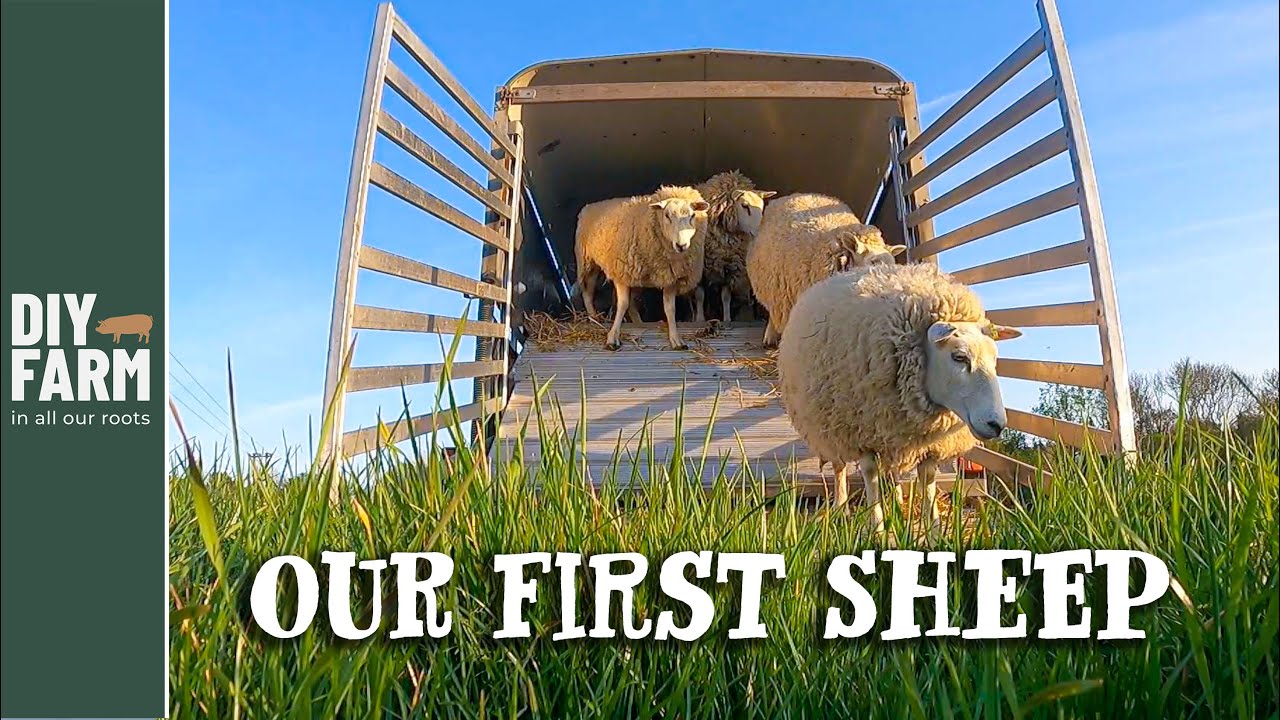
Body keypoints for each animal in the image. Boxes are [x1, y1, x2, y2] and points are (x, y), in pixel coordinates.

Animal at [574, 185, 710, 350]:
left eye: (692, 215)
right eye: (667, 215)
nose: (681, 245)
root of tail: (589, 206)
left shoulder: (670, 277)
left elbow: (670, 309)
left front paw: (676, 339)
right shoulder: (622, 272)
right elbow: (622, 305)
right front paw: (612, 338)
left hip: (636, 277)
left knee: (632, 303)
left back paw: (638, 322)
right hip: (587, 262)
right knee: (588, 291)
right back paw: (594, 317)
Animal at [687, 171, 776, 322]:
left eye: (762, 206)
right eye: (745, 205)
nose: (760, 232)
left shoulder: (729, 267)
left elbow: (726, 297)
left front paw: (727, 319)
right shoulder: (699, 269)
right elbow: (699, 296)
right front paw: (700, 319)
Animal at [777, 263, 1022, 537]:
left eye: (995, 358)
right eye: (959, 357)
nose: (996, 424)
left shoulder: (928, 444)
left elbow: (928, 480)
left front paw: (934, 532)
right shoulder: (863, 431)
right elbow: (870, 473)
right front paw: (878, 529)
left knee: (892, 471)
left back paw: (895, 502)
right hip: (829, 426)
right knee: (839, 466)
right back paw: (841, 508)